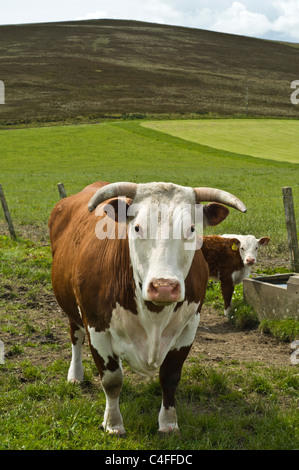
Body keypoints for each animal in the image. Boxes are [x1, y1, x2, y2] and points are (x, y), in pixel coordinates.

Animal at [49, 182, 246, 436]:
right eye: (137, 227)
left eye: (192, 228)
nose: (164, 287)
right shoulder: (96, 326)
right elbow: (112, 380)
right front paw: (113, 423)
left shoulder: (190, 326)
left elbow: (170, 377)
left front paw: (168, 423)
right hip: (71, 307)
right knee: (75, 337)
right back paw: (75, 375)